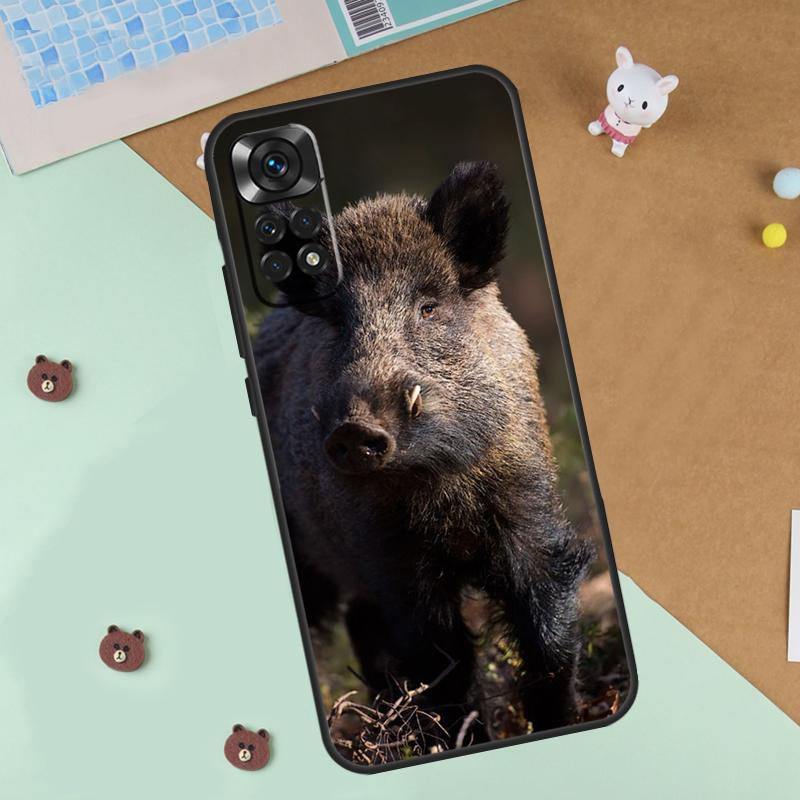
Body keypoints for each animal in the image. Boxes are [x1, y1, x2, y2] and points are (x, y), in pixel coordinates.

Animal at [253, 162, 592, 743]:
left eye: (428, 306)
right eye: (337, 321)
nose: (355, 428)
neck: (442, 487)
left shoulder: (530, 511)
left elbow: (547, 634)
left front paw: (559, 721)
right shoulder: (387, 555)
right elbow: (442, 659)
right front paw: (464, 739)